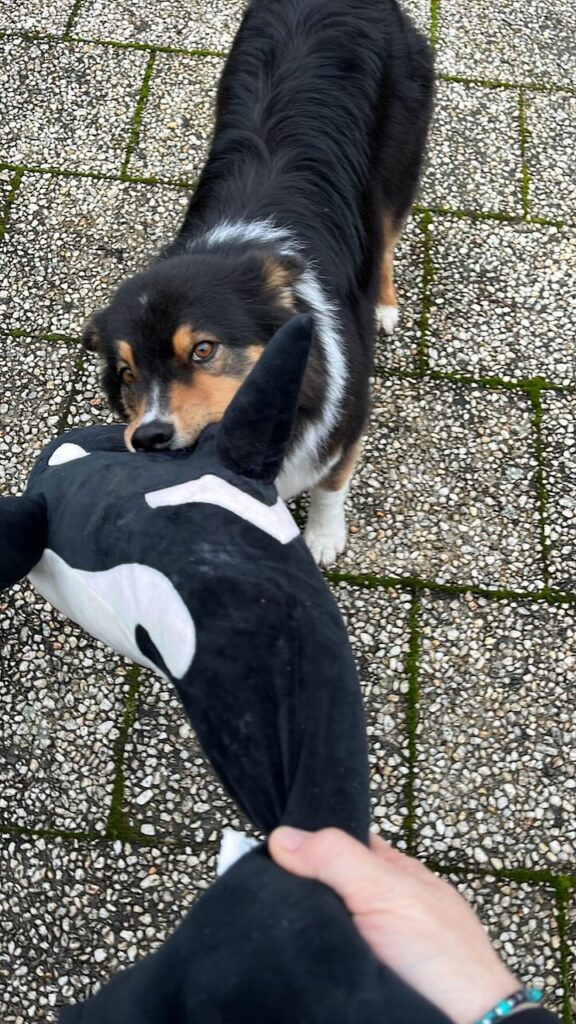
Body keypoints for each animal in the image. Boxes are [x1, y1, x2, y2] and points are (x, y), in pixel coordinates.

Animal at [83, 0, 433, 565]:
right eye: (127, 373)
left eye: (203, 350)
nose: (149, 436)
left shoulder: (349, 408)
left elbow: (332, 479)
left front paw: (322, 538)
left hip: (397, 164)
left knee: (385, 239)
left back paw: (383, 305)